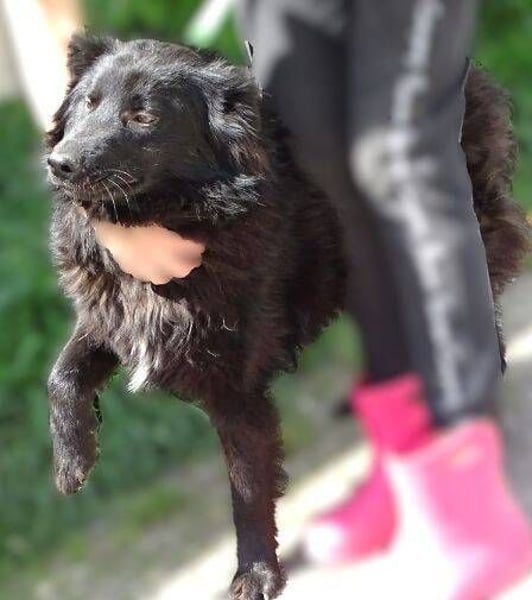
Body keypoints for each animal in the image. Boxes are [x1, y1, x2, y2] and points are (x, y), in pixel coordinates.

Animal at [46, 34, 528, 599]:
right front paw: (73, 462)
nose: (58, 163)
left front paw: (255, 574)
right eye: (88, 103)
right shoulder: (113, 313)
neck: (172, 220)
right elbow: (62, 374)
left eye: (143, 116)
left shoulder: (235, 388)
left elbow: (247, 487)